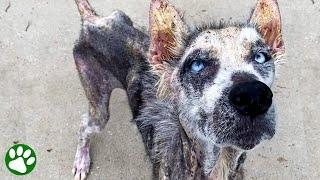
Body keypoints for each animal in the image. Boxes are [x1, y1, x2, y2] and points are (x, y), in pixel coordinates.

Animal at [72, 0, 284, 179]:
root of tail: (92, 20)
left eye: (261, 57)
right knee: (83, 125)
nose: (254, 96)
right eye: (197, 65)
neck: (218, 165)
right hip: (99, 106)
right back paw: (81, 162)